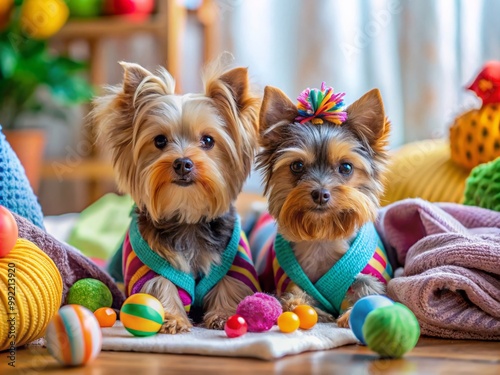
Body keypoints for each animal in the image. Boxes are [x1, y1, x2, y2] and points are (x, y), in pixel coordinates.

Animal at [91, 62, 260, 334]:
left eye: (208, 140)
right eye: (160, 140)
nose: (183, 163)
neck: (187, 218)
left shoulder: (236, 263)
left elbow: (231, 284)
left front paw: (224, 314)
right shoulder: (146, 265)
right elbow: (160, 285)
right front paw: (171, 318)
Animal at [254, 83, 394, 324]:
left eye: (346, 167)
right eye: (297, 166)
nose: (320, 194)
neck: (322, 235)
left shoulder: (373, 275)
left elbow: (368, 288)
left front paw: (351, 315)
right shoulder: (288, 280)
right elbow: (295, 297)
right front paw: (309, 310)